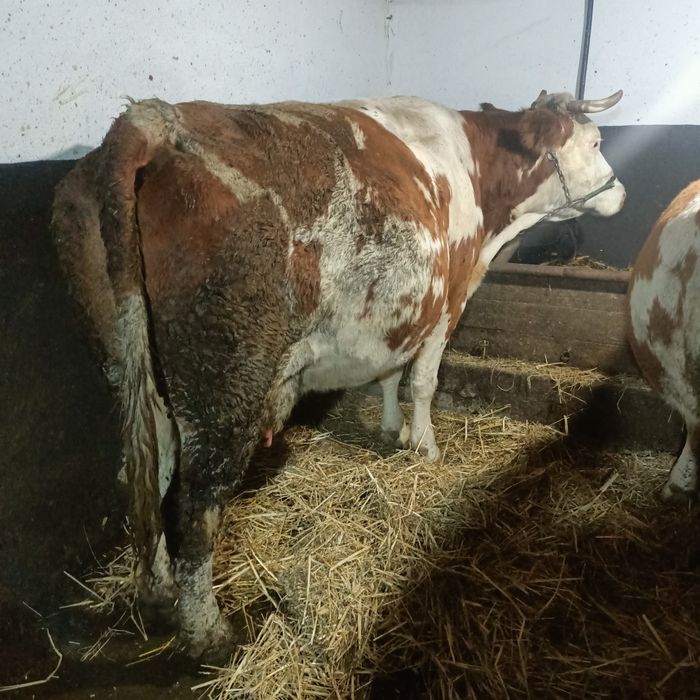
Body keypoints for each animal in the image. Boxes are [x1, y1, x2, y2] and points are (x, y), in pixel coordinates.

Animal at [51, 89, 625, 659]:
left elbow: (391, 372)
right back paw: (208, 630)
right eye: (597, 141)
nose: (621, 194)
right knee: (198, 503)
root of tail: (152, 119)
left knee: (143, 473)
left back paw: (161, 590)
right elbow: (423, 380)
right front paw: (426, 446)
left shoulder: (404, 312)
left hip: (136, 374)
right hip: (227, 378)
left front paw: (392, 429)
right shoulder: (449, 298)